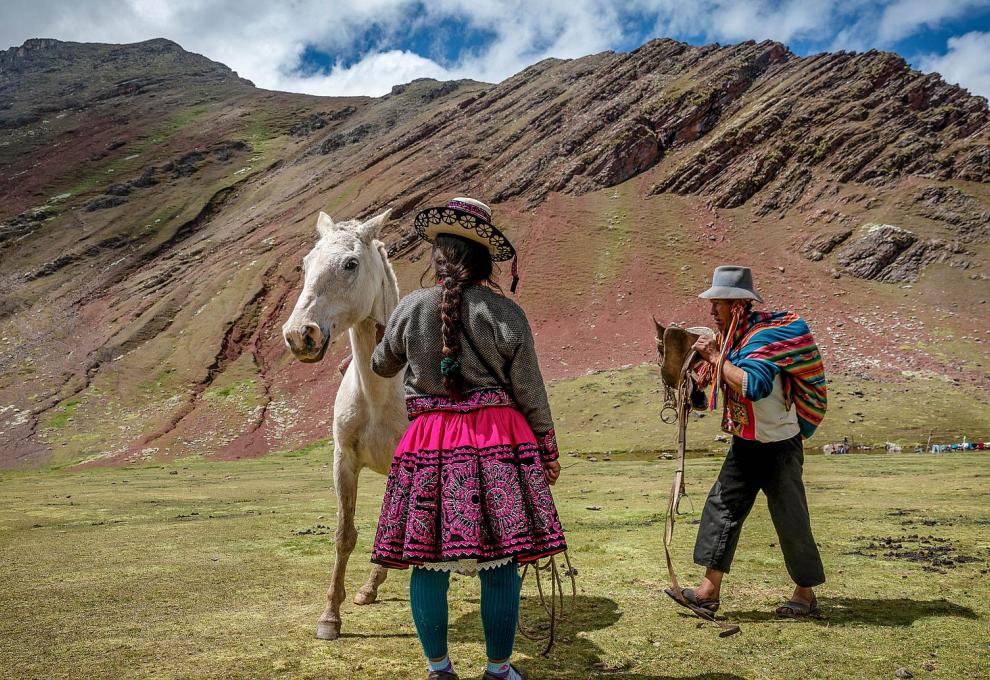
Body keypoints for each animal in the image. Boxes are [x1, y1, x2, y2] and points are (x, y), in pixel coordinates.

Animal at [282, 210, 410, 640]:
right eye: (305, 264)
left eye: (351, 264)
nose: (299, 335)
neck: (380, 392)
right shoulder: (344, 462)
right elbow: (344, 535)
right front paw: (330, 617)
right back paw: (371, 587)